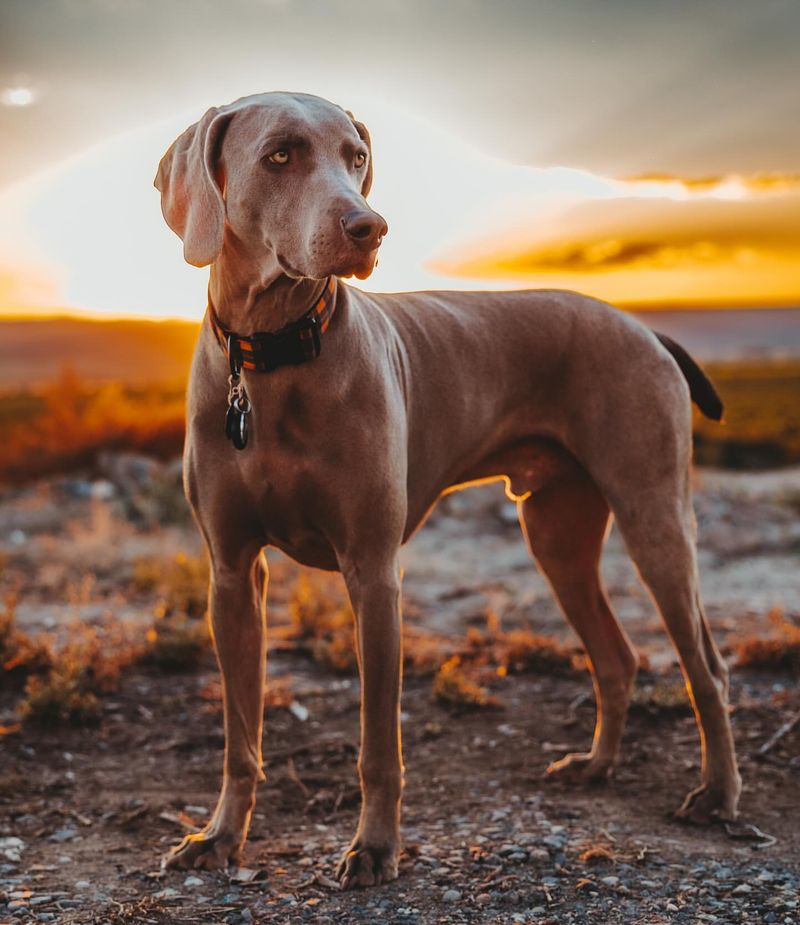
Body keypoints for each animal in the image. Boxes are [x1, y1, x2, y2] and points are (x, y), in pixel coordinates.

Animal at [153, 90, 740, 884]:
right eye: (279, 154)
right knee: (617, 655)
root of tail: (641, 327)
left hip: (653, 513)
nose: (368, 227)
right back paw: (595, 765)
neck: (273, 357)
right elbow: (240, 734)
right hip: (556, 532)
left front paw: (373, 847)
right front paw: (220, 835)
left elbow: (379, 743)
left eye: (356, 157)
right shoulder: (231, 573)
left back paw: (717, 794)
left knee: (706, 666)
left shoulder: (372, 571)